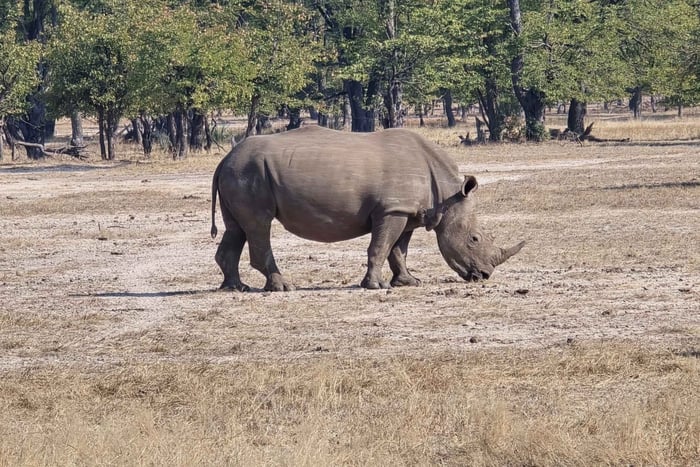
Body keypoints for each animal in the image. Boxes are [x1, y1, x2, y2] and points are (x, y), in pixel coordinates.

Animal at [210, 125, 524, 291]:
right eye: (474, 239)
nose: (484, 276)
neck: (447, 194)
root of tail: (225, 158)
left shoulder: (406, 211)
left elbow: (398, 250)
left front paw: (409, 282)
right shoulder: (391, 210)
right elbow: (381, 246)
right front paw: (376, 286)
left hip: (238, 173)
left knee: (237, 228)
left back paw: (236, 288)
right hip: (249, 172)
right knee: (259, 225)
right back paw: (283, 287)